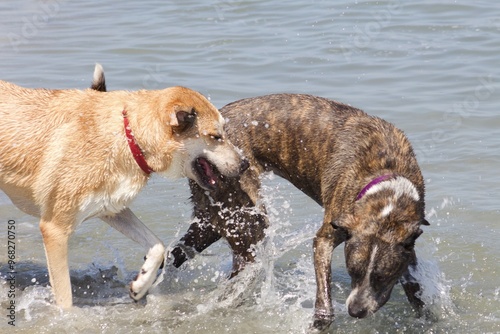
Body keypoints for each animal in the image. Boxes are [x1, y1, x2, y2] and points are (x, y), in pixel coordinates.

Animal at [0, 66, 246, 310]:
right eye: (215, 136)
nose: (244, 164)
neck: (128, 136)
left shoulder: (111, 209)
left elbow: (157, 246)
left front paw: (141, 284)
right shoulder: (55, 230)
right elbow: (65, 301)